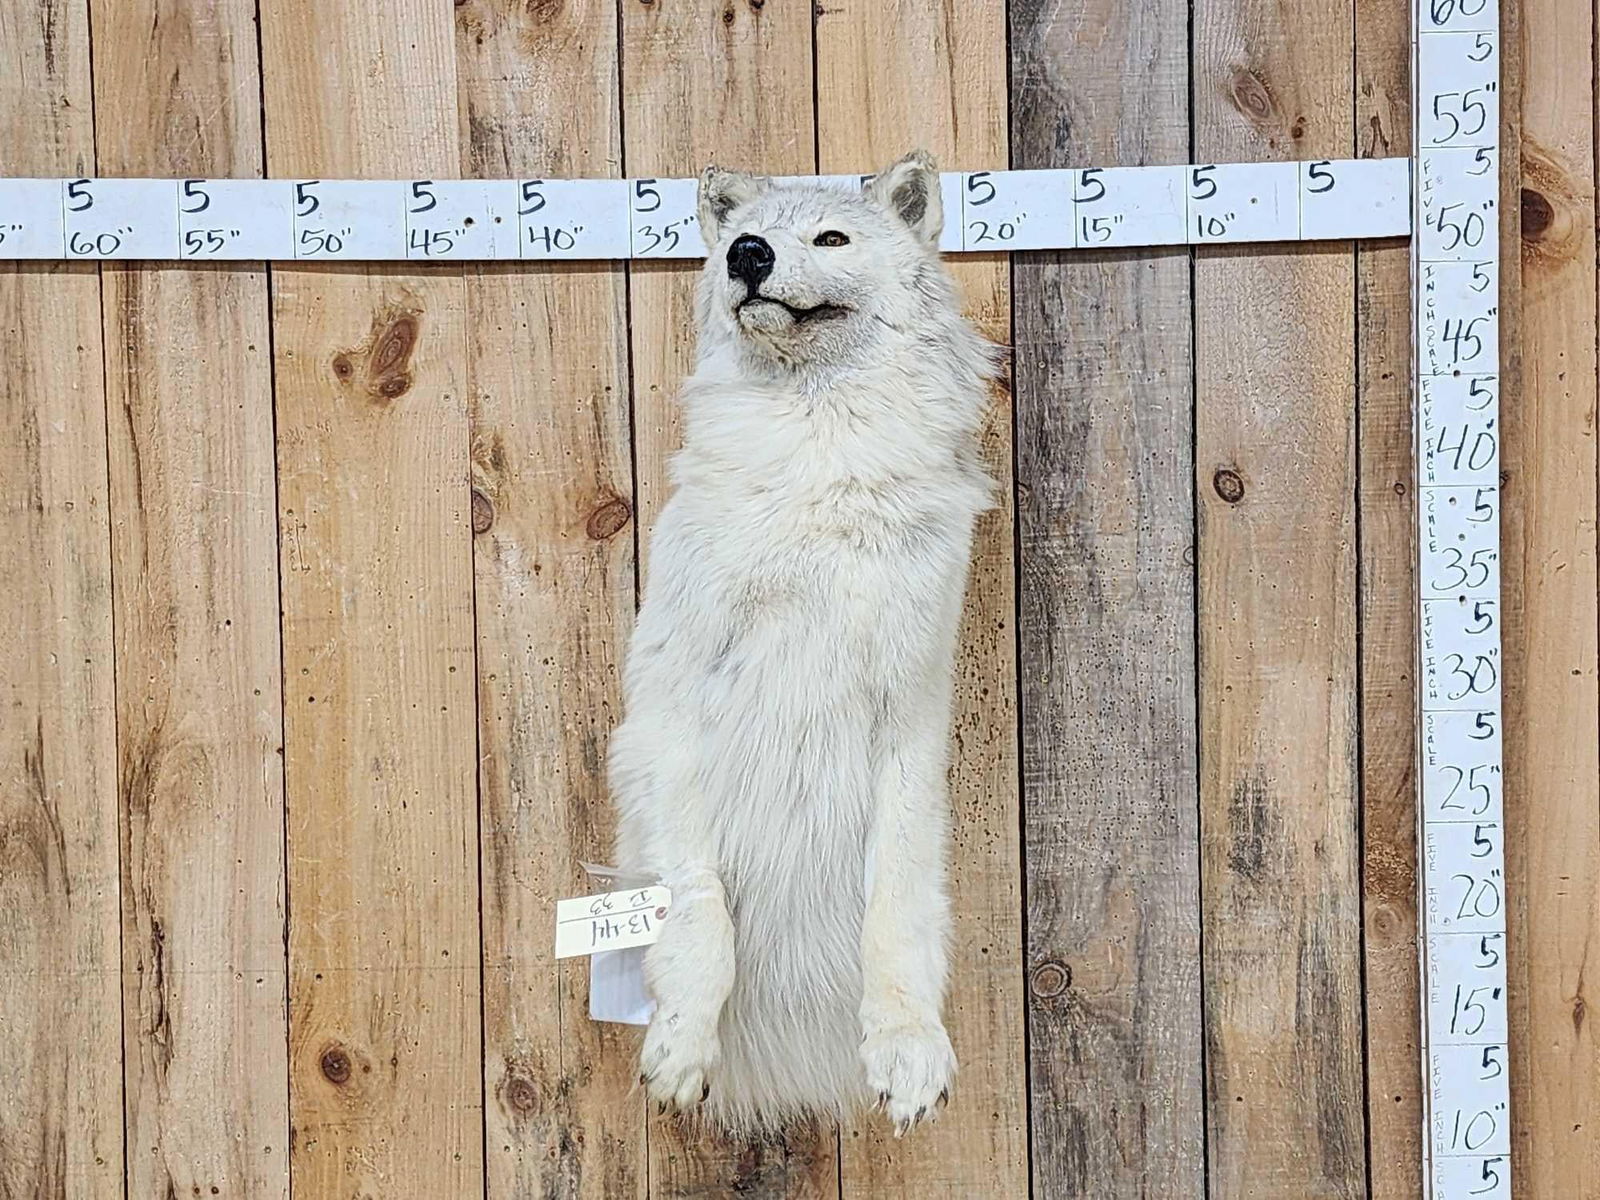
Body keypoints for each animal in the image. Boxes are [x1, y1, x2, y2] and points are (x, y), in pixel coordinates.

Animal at [607, 150, 997, 1136]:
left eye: (830, 237)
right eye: (748, 240)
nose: (747, 253)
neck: (819, 464)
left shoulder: (908, 725)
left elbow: (898, 907)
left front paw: (907, 1050)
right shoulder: (668, 711)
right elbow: (699, 911)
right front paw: (682, 1044)